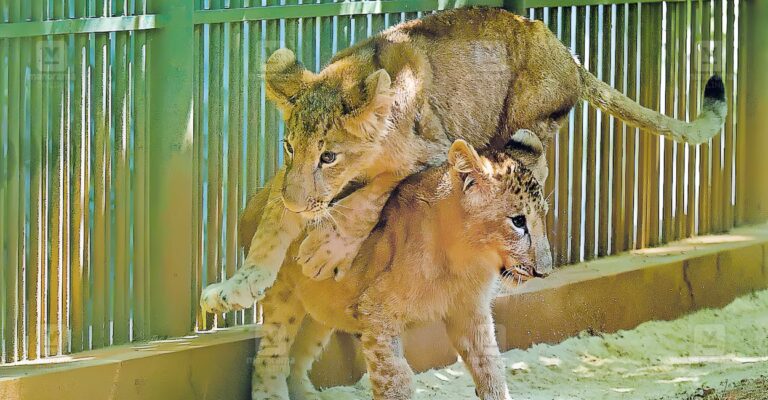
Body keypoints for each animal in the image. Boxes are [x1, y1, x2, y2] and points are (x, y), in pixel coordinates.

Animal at [200, 7, 726, 315]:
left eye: (329, 156)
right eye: (290, 148)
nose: (299, 204)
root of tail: (567, 53)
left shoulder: (432, 149)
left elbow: (372, 193)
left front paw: (326, 250)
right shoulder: (290, 181)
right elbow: (271, 228)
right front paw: (238, 286)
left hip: (523, 126)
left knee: (533, 182)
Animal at [251, 136, 551, 400]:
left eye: (543, 217)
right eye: (517, 221)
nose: (544, 272)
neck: (465, 264)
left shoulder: (471, 312)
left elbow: (491, 368)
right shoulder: (376, 313)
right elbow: (396, 380)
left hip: (322, 312)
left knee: (298, 358)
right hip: (283, 298)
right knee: (268, 356)